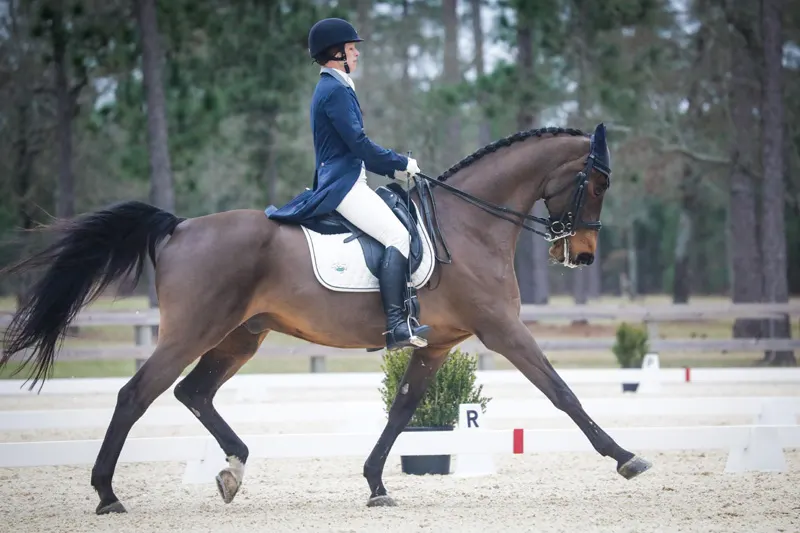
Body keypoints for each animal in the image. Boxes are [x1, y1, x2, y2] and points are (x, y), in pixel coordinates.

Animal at [0, 123, 648, 512]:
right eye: (597, 183)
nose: (582, 255)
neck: (470, 223)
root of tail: (179, 227)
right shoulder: (503, 329)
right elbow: (561, 391)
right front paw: (625, 457)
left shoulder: (437, 343)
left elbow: (405, 410)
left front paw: (377, 483)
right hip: (193, 331)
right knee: (136, 394)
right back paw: (107, 493)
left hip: (240, 337)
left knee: (193, 393)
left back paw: (232, 469)